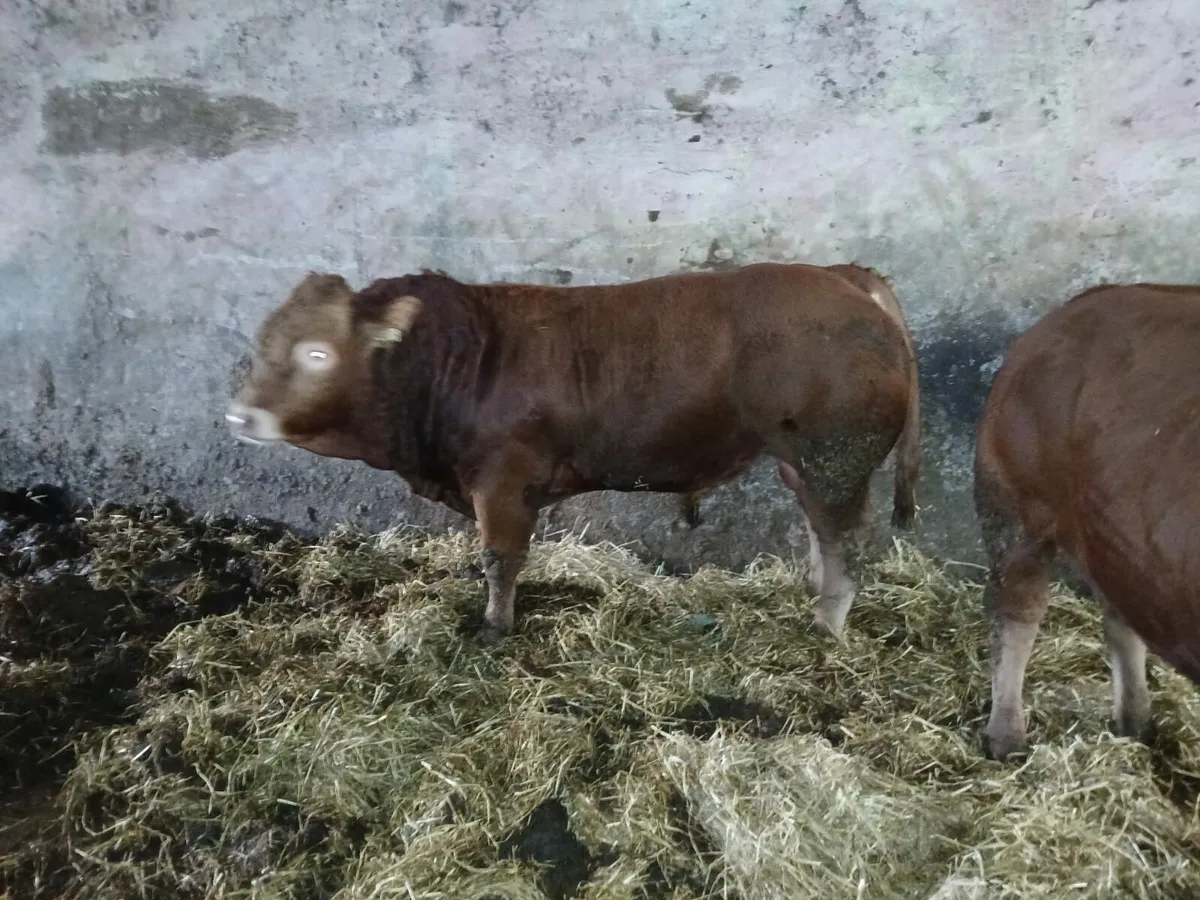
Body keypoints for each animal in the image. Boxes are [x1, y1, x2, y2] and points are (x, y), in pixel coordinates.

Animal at [226, 262, 921, 643]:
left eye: (317, 352)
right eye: (262, 342)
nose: (240, 414)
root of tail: (838, 274)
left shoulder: (504, 482)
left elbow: (500, 560)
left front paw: (494, 627)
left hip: (837, 455)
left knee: (848, 539)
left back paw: (827, 624)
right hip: (803, 459)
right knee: (822, 530)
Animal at [975, 281, 1200, 761]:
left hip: (1117, 538)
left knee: (1120, 617)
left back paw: (1134, 724)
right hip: (1012, 504)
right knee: (1016, 613)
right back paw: (1007, 741)